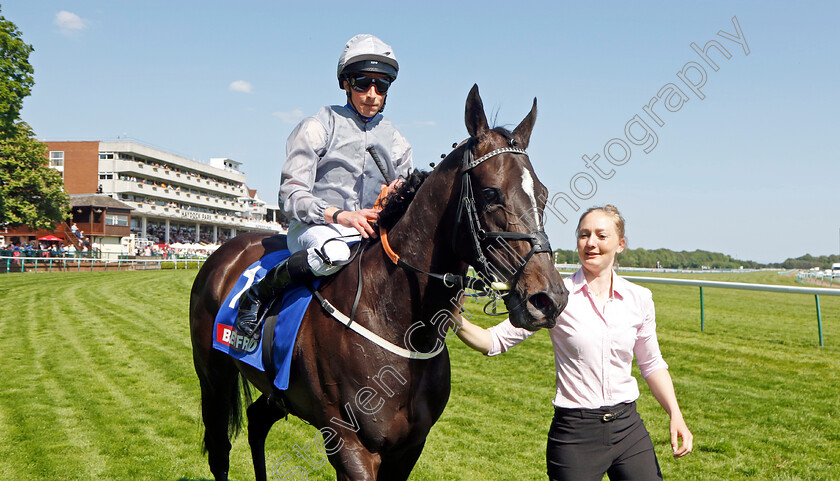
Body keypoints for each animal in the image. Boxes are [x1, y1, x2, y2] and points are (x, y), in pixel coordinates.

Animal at [189, 86, 568, 480]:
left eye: (542, 194)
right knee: (219, 448)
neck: (396, 321)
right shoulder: (349, 444)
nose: (548, 299)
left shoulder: (409, 447)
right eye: (492, 193)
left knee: (258, 420)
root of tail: (227, 249)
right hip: (212, 374)